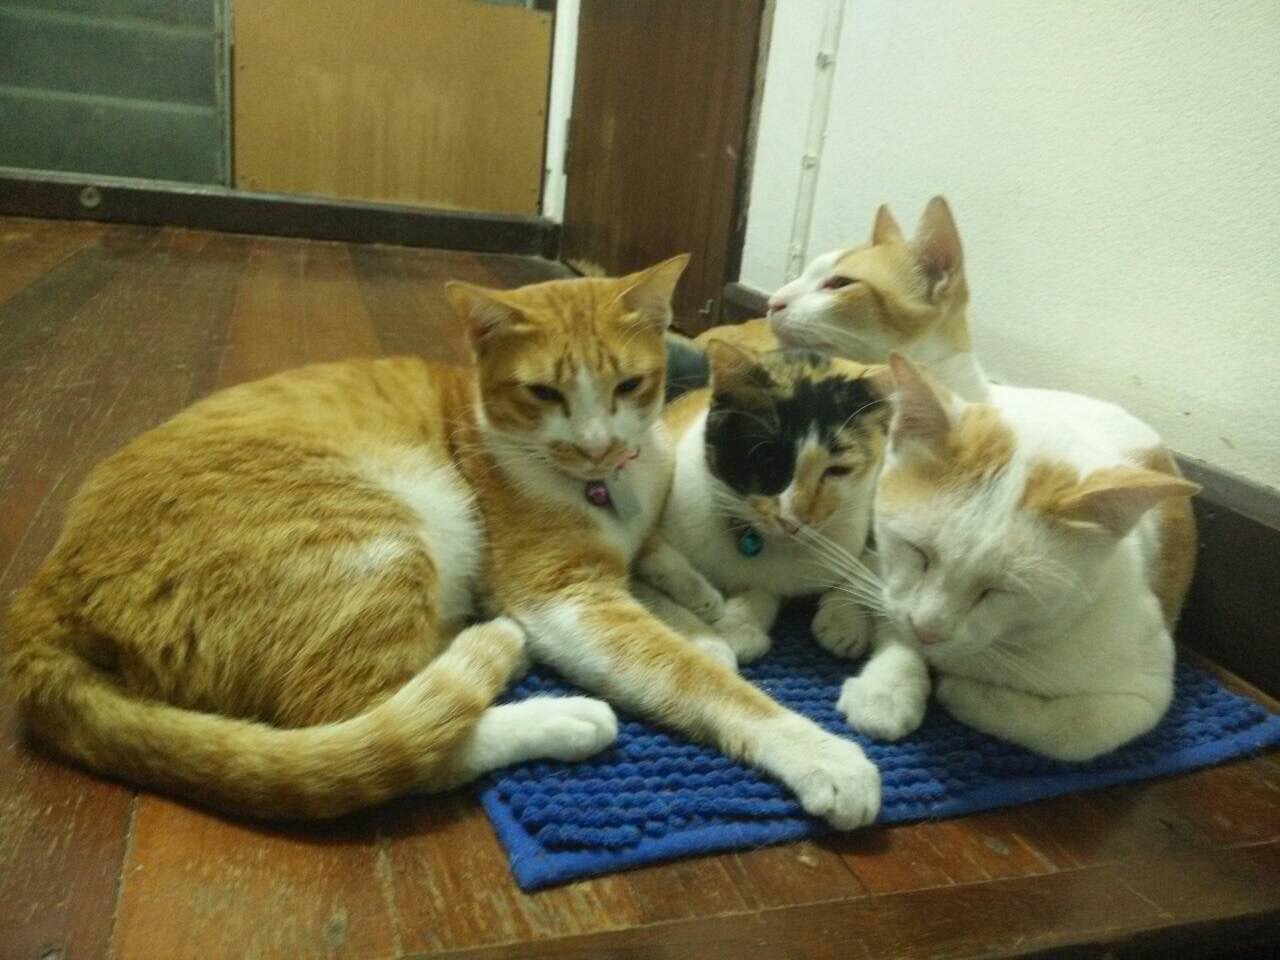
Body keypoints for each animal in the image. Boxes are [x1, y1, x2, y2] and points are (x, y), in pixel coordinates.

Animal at [633, 341, 892, 670]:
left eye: (837, 471)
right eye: (766, 460)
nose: (792, 520)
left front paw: (740, 626)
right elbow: (660, 581)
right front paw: (708, 631)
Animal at [838, 354, 1199, 761]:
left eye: (998, 590)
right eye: (919, 552)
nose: (928, 631)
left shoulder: (1146, 689)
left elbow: (1074, 729)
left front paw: (964, 692)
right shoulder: (896, 587)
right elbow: (892, 614)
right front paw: (887, 687)